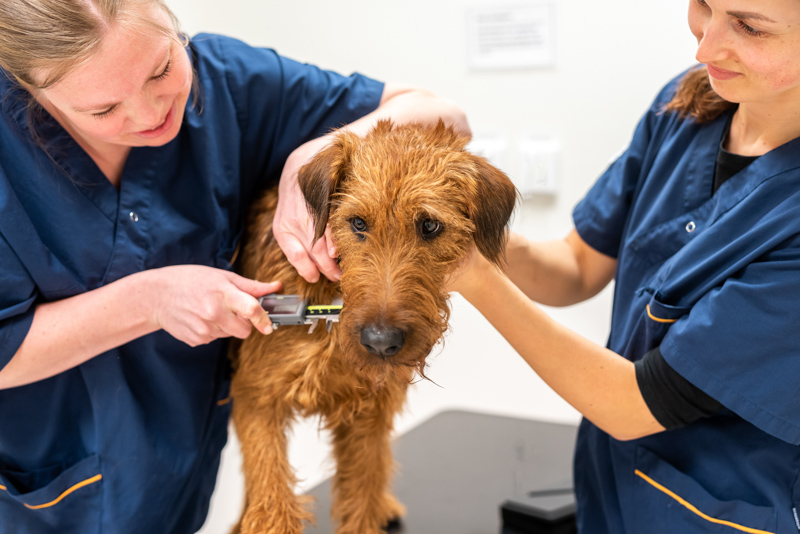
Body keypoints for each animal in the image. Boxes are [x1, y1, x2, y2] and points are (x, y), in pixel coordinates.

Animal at [231, 121, 520, 534]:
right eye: (358, 223)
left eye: (429, 225)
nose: (381, 343)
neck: (332, 309)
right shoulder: (257, 398)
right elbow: (271, 497)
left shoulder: (368, 411)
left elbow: (363, 488)